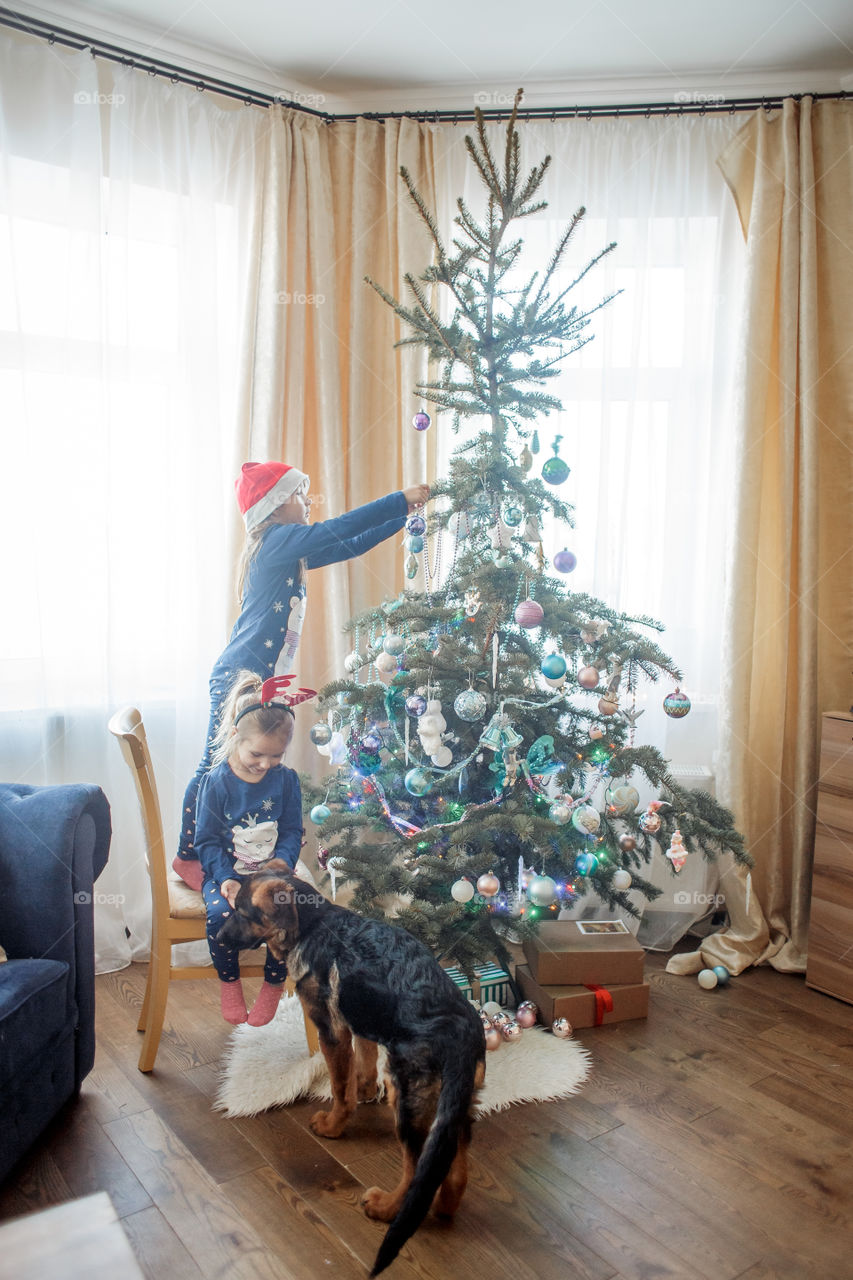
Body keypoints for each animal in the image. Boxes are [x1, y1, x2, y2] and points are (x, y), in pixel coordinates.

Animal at [216, 865, 484, 1274]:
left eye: (243, 913)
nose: (217, 938)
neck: (312, 923)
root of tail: (461, 1033)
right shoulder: (361, 1021)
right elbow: (366, 1057)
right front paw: (365, 1088)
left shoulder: (331, 1030)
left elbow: (340, 1087)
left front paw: (332, 1125)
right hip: (458, 1106)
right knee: (453, 1170)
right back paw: (443, 1208)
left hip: (409, 1099)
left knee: (415, 1167)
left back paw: (386, 1208)